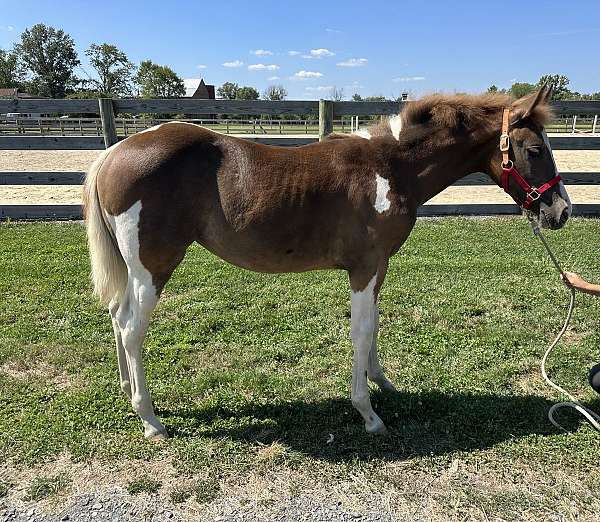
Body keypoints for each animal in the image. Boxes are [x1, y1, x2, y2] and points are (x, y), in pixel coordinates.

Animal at [83, 84, 568, 434]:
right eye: (534, 150)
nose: (561, 211)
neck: (389, 167)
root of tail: (112, 154)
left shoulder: (378, 267)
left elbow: (374, 326)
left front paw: (382, 382)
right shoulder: (364, 268)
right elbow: (361, 331)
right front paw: (368, 413)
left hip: (135, 271)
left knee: (116, 316)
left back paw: (127, 391)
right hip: (154, 267)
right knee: (132, 328)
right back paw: (150, 419)